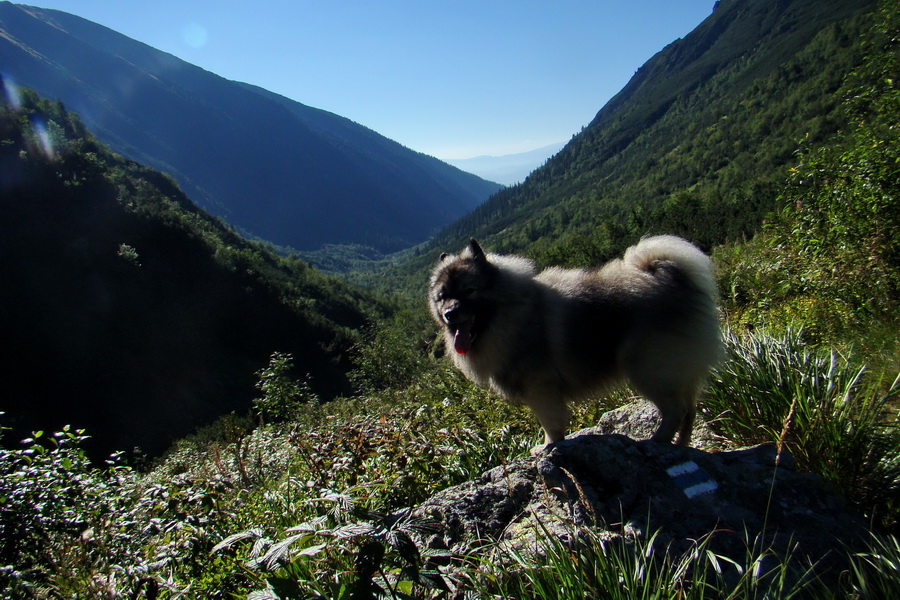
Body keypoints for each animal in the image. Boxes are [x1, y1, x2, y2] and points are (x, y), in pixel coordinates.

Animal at [430, 237, 724, 448]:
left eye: (469, 290)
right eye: (442, 297)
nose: (449, 314)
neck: (509, 312)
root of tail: (670, 278)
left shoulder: (540, 389)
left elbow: (550, 424)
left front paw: (547, 447)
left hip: (649, 370)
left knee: (675, 411)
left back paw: (657, 441)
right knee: (689, 411)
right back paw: (680, 445)